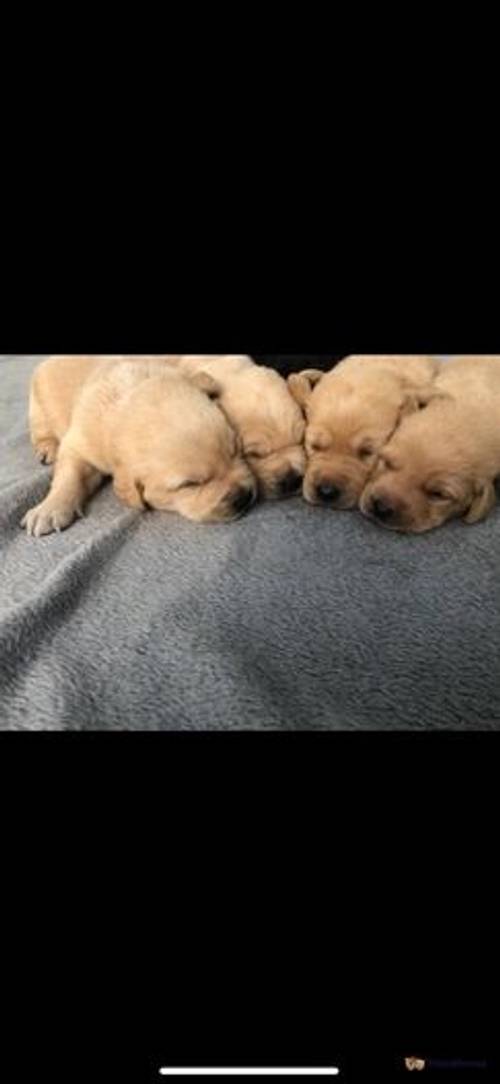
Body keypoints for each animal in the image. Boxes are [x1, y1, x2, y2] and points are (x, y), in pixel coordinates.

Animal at [21, 353, 254, 535]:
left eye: (236, 451)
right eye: (190, 485)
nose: (243, 497)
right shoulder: (80, 442)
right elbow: (69, 475)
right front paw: (49, 509)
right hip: (37, 405)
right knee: (41, 429)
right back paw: (47, 448)